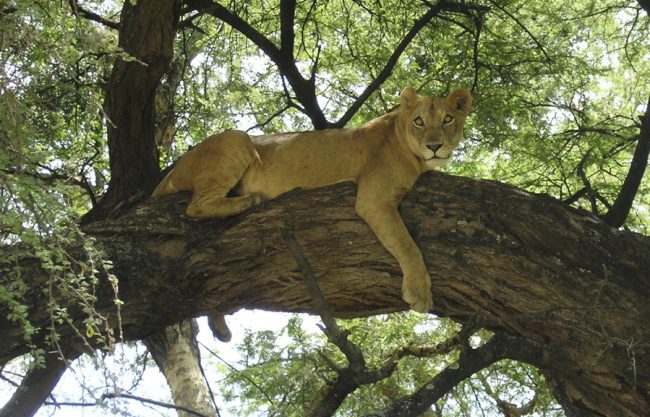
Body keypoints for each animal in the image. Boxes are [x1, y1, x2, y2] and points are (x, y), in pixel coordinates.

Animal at [153, 87, 472, 341]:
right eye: (419, 121)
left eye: (447, 119)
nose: (434, 146)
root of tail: (170, 173)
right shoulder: (374, 198)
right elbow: (407, 245)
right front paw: (419, 292)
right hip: (236, 139)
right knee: (196, 206)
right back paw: (248, 201)